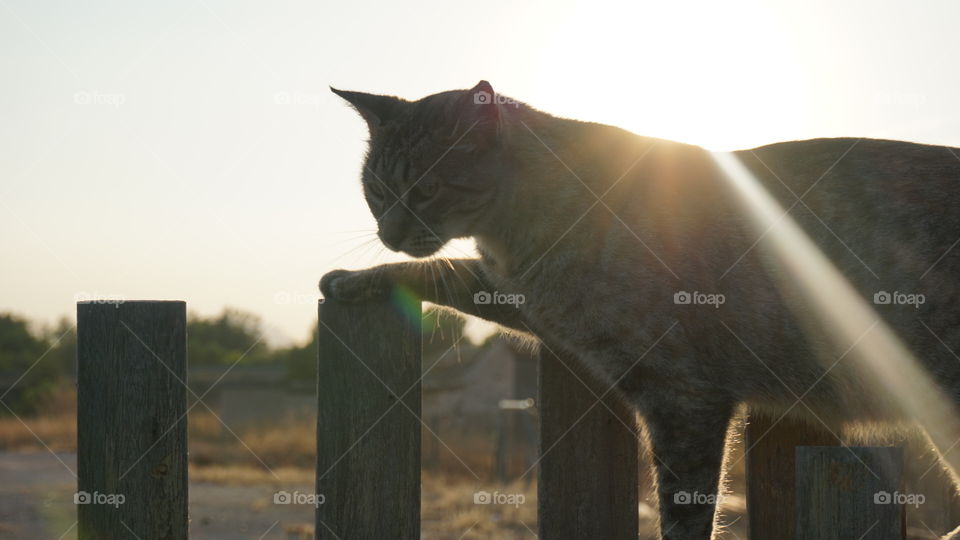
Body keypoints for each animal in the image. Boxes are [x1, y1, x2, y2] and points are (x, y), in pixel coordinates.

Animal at [320, 81, 960, 540]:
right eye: (376, 190)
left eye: (425, 190)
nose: (388, 231)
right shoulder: (517, 294)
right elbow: (444, 272)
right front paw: (354, 279)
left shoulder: (683, 397)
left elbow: (685, 512)